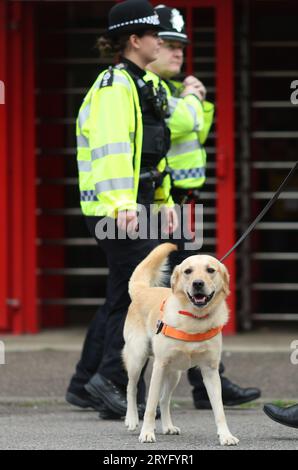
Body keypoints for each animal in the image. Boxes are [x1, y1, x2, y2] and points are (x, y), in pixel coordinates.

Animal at [122, 244, 239, 446]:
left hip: (174, 373)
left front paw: (225, 435)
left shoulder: (210, 371)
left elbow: (219, 410)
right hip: (138, 359)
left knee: (164, 399)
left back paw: (168, 426)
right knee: (132, 388)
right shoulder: (159, 366)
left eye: (210, 270)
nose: (198, 283)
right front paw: (147, 433)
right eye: (188, 271)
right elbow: (150, 406)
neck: (194, 320)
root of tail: (143, 290)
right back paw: (132, 419)